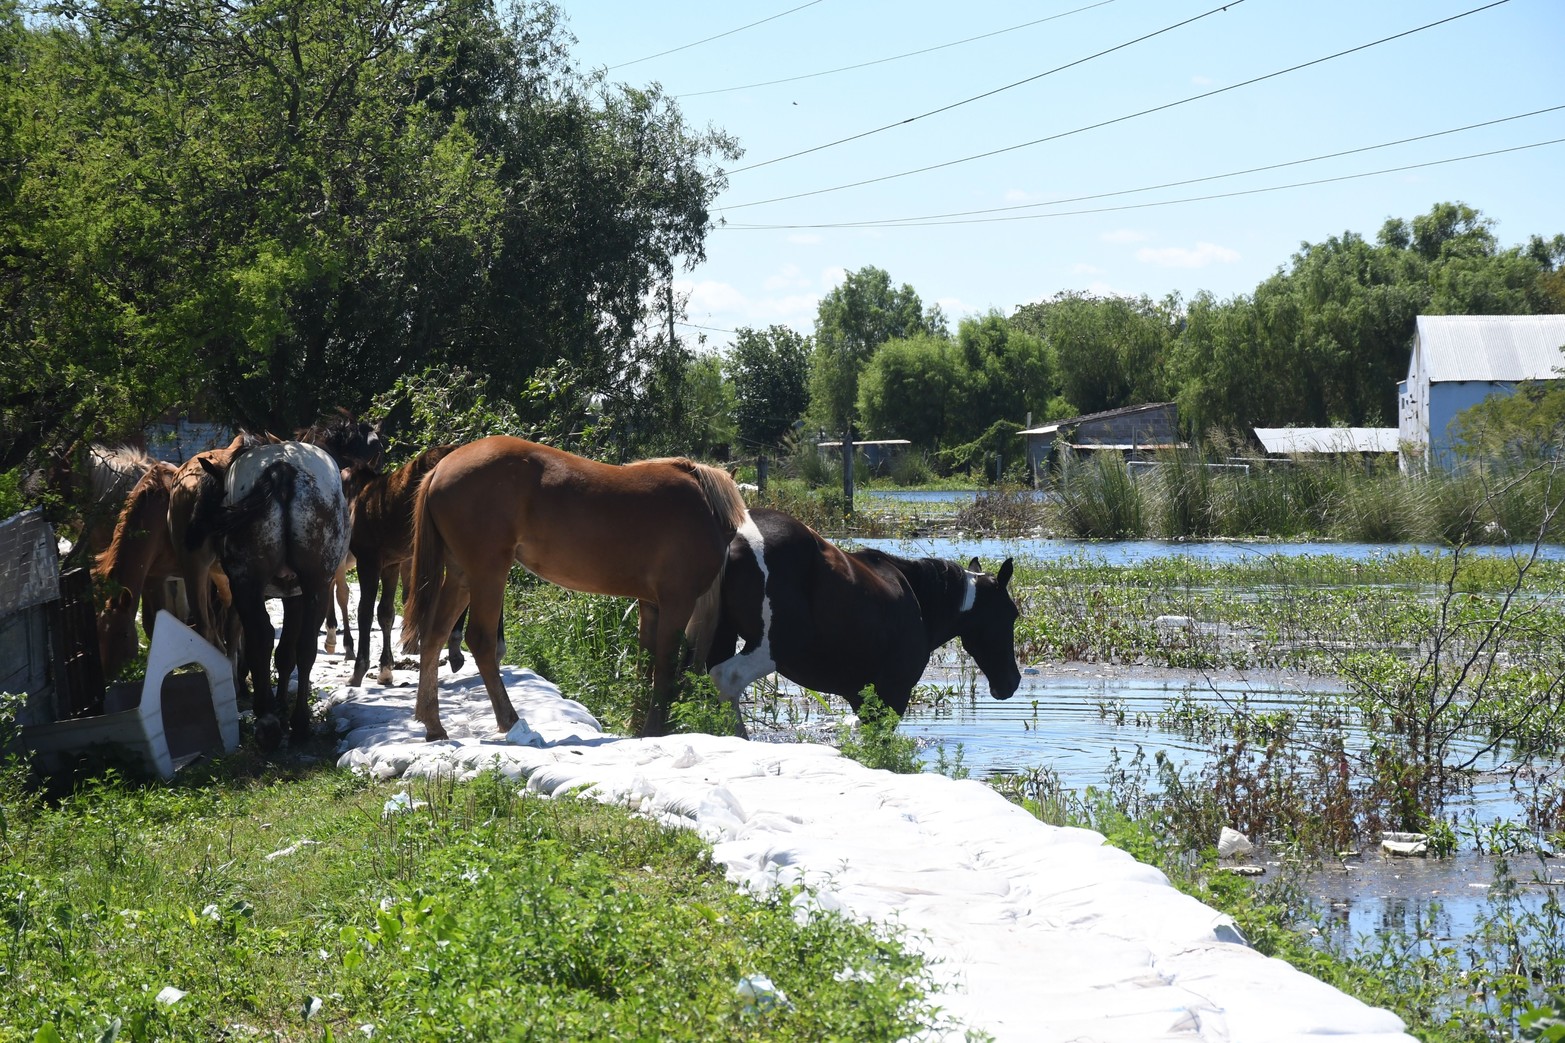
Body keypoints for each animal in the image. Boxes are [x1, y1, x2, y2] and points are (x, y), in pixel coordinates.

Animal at [400, 435, 748, 736]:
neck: (706, 510)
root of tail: (441, 468)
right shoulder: (677, 602)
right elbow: (663, 666)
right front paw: (653, 730)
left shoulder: (651, 606)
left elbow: (645, 665)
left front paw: (636, 725)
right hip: (488, 572)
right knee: (481, 641)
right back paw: (509, 719)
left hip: (462, 576)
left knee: (434, 636)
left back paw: (433, 724)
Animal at [710, 507, 1026, 736]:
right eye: (1012, 614)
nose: (1011, 682)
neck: (919, 597)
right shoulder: (893, 693)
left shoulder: (860, 696)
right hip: (771, 647)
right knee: (727, 679)